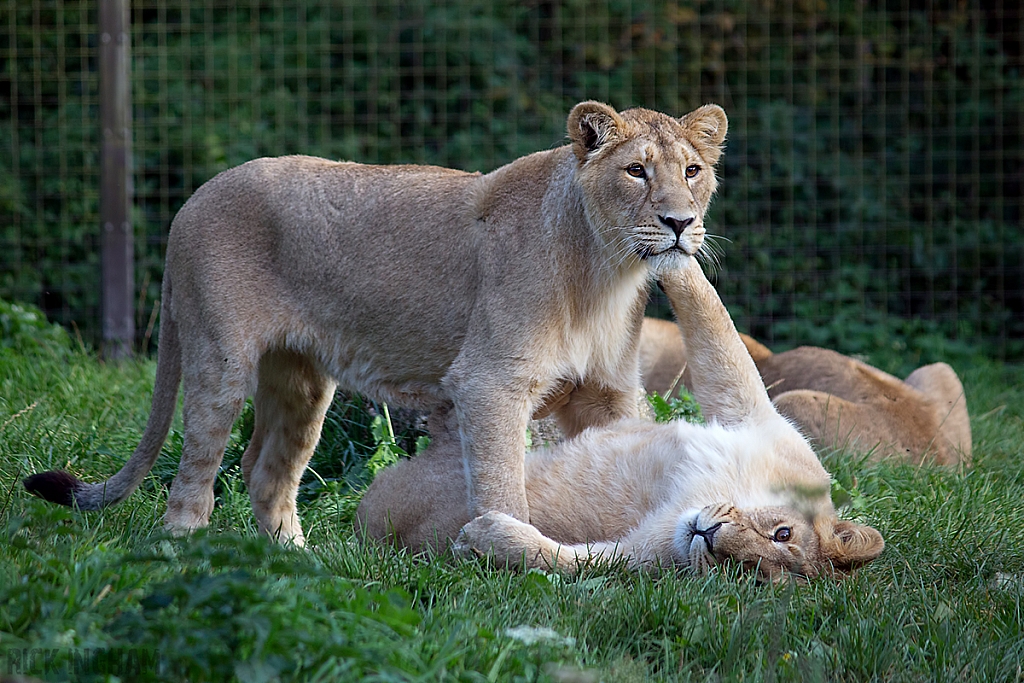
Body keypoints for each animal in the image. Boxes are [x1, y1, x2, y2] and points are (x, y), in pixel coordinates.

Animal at [22, 100, 729, 544]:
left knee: (265, 471)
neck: (606, 273)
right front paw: (509, 559)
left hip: (302, 382)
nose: (679, 222)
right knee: (194, 470)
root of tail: (191, 200)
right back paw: (186, 554)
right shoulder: (489, 382)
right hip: (217, 362)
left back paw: (296, 566)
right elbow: (505, 487)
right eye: (635, 170)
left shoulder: (609, 394)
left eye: (692, 171)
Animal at [356, 258, 884, 581]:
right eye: (782, 533)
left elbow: (570, 562)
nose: (711, 538)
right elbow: (718, 324)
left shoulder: (646, 559)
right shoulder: (757, 418)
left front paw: (487, 538)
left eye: (749, 574)